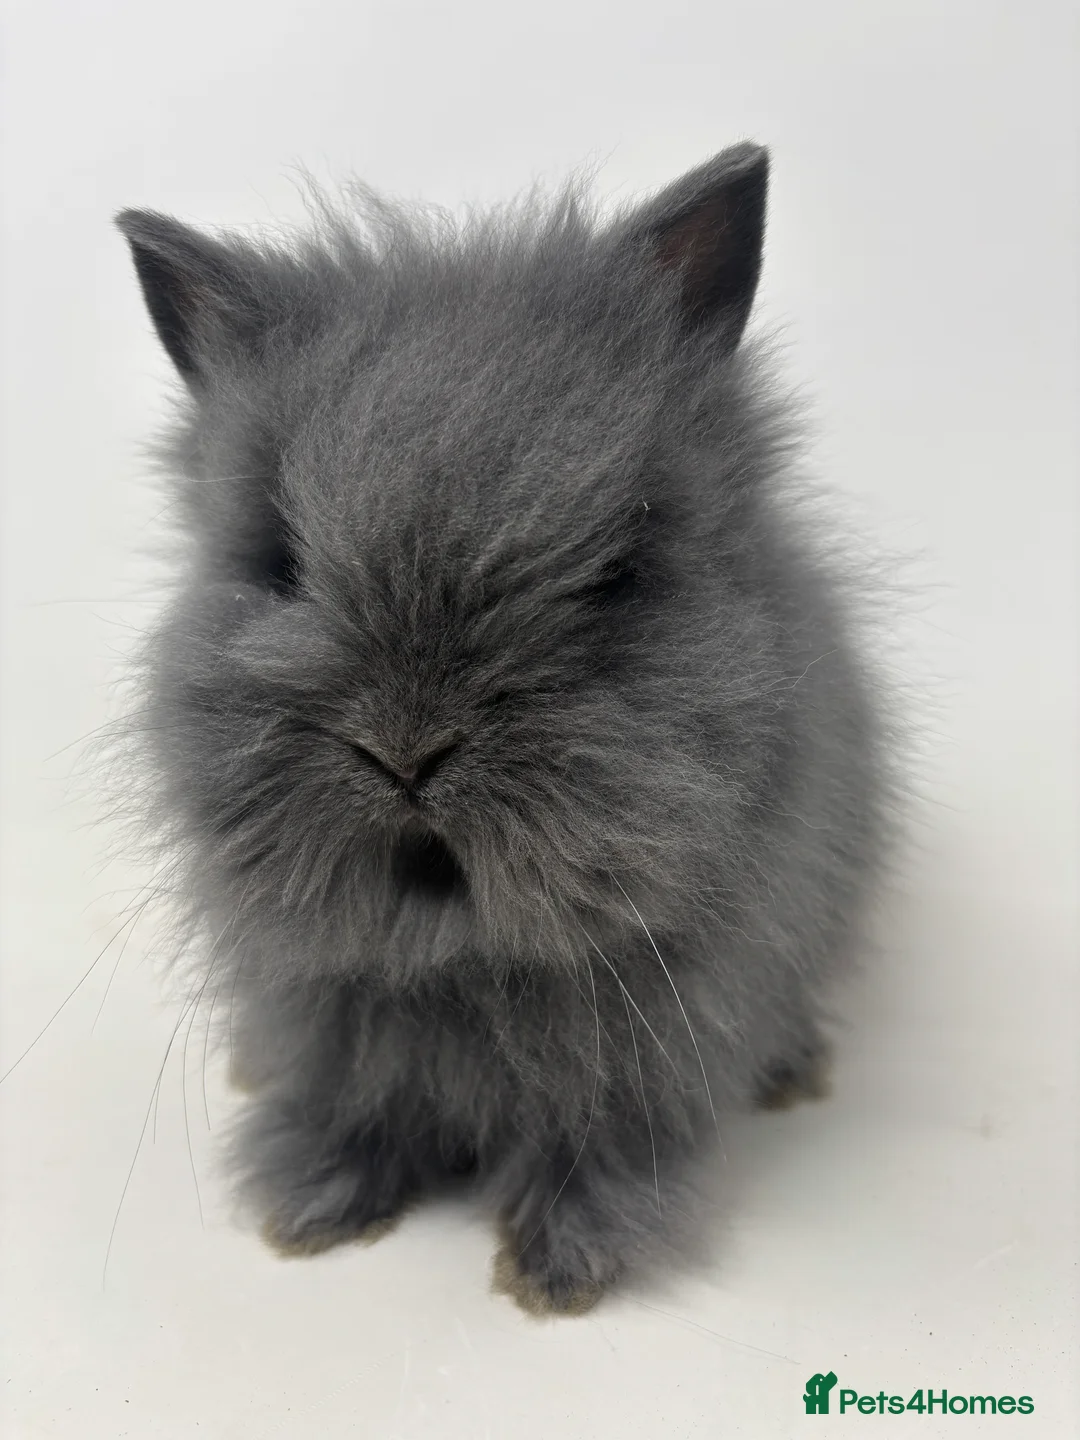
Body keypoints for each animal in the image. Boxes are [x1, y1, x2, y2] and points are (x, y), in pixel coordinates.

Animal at [115, 141, 888, 1315]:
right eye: (280, 564)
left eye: (616, 572)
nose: (406, 752)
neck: (457, 948)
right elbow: (348, 1104)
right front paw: (313, 1208)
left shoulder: (647, 1059)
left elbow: (604, 1144)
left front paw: (560, 1268)